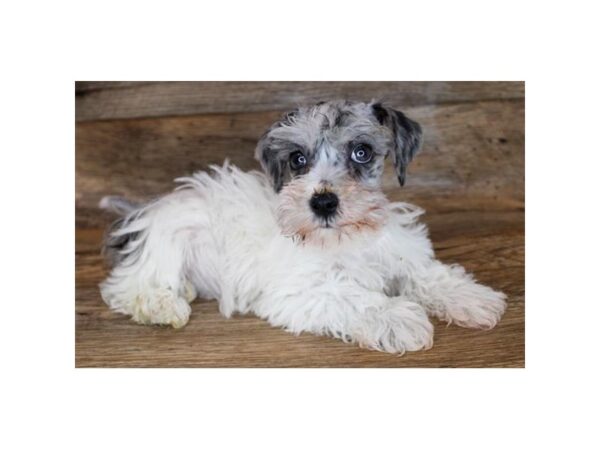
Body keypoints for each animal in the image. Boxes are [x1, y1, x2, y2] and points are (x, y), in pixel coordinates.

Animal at [99, 100, 506, 354]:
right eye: (297, 159)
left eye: (361, 152)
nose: (323, 202)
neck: (346, 237)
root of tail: (149, 208)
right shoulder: (301, 292)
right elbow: (352, 296)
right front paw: (394, 317)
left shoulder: (398, 254)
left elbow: (425, 274)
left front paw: (470, 297)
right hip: (170, 240)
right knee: (129, 285)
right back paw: (164, 305)